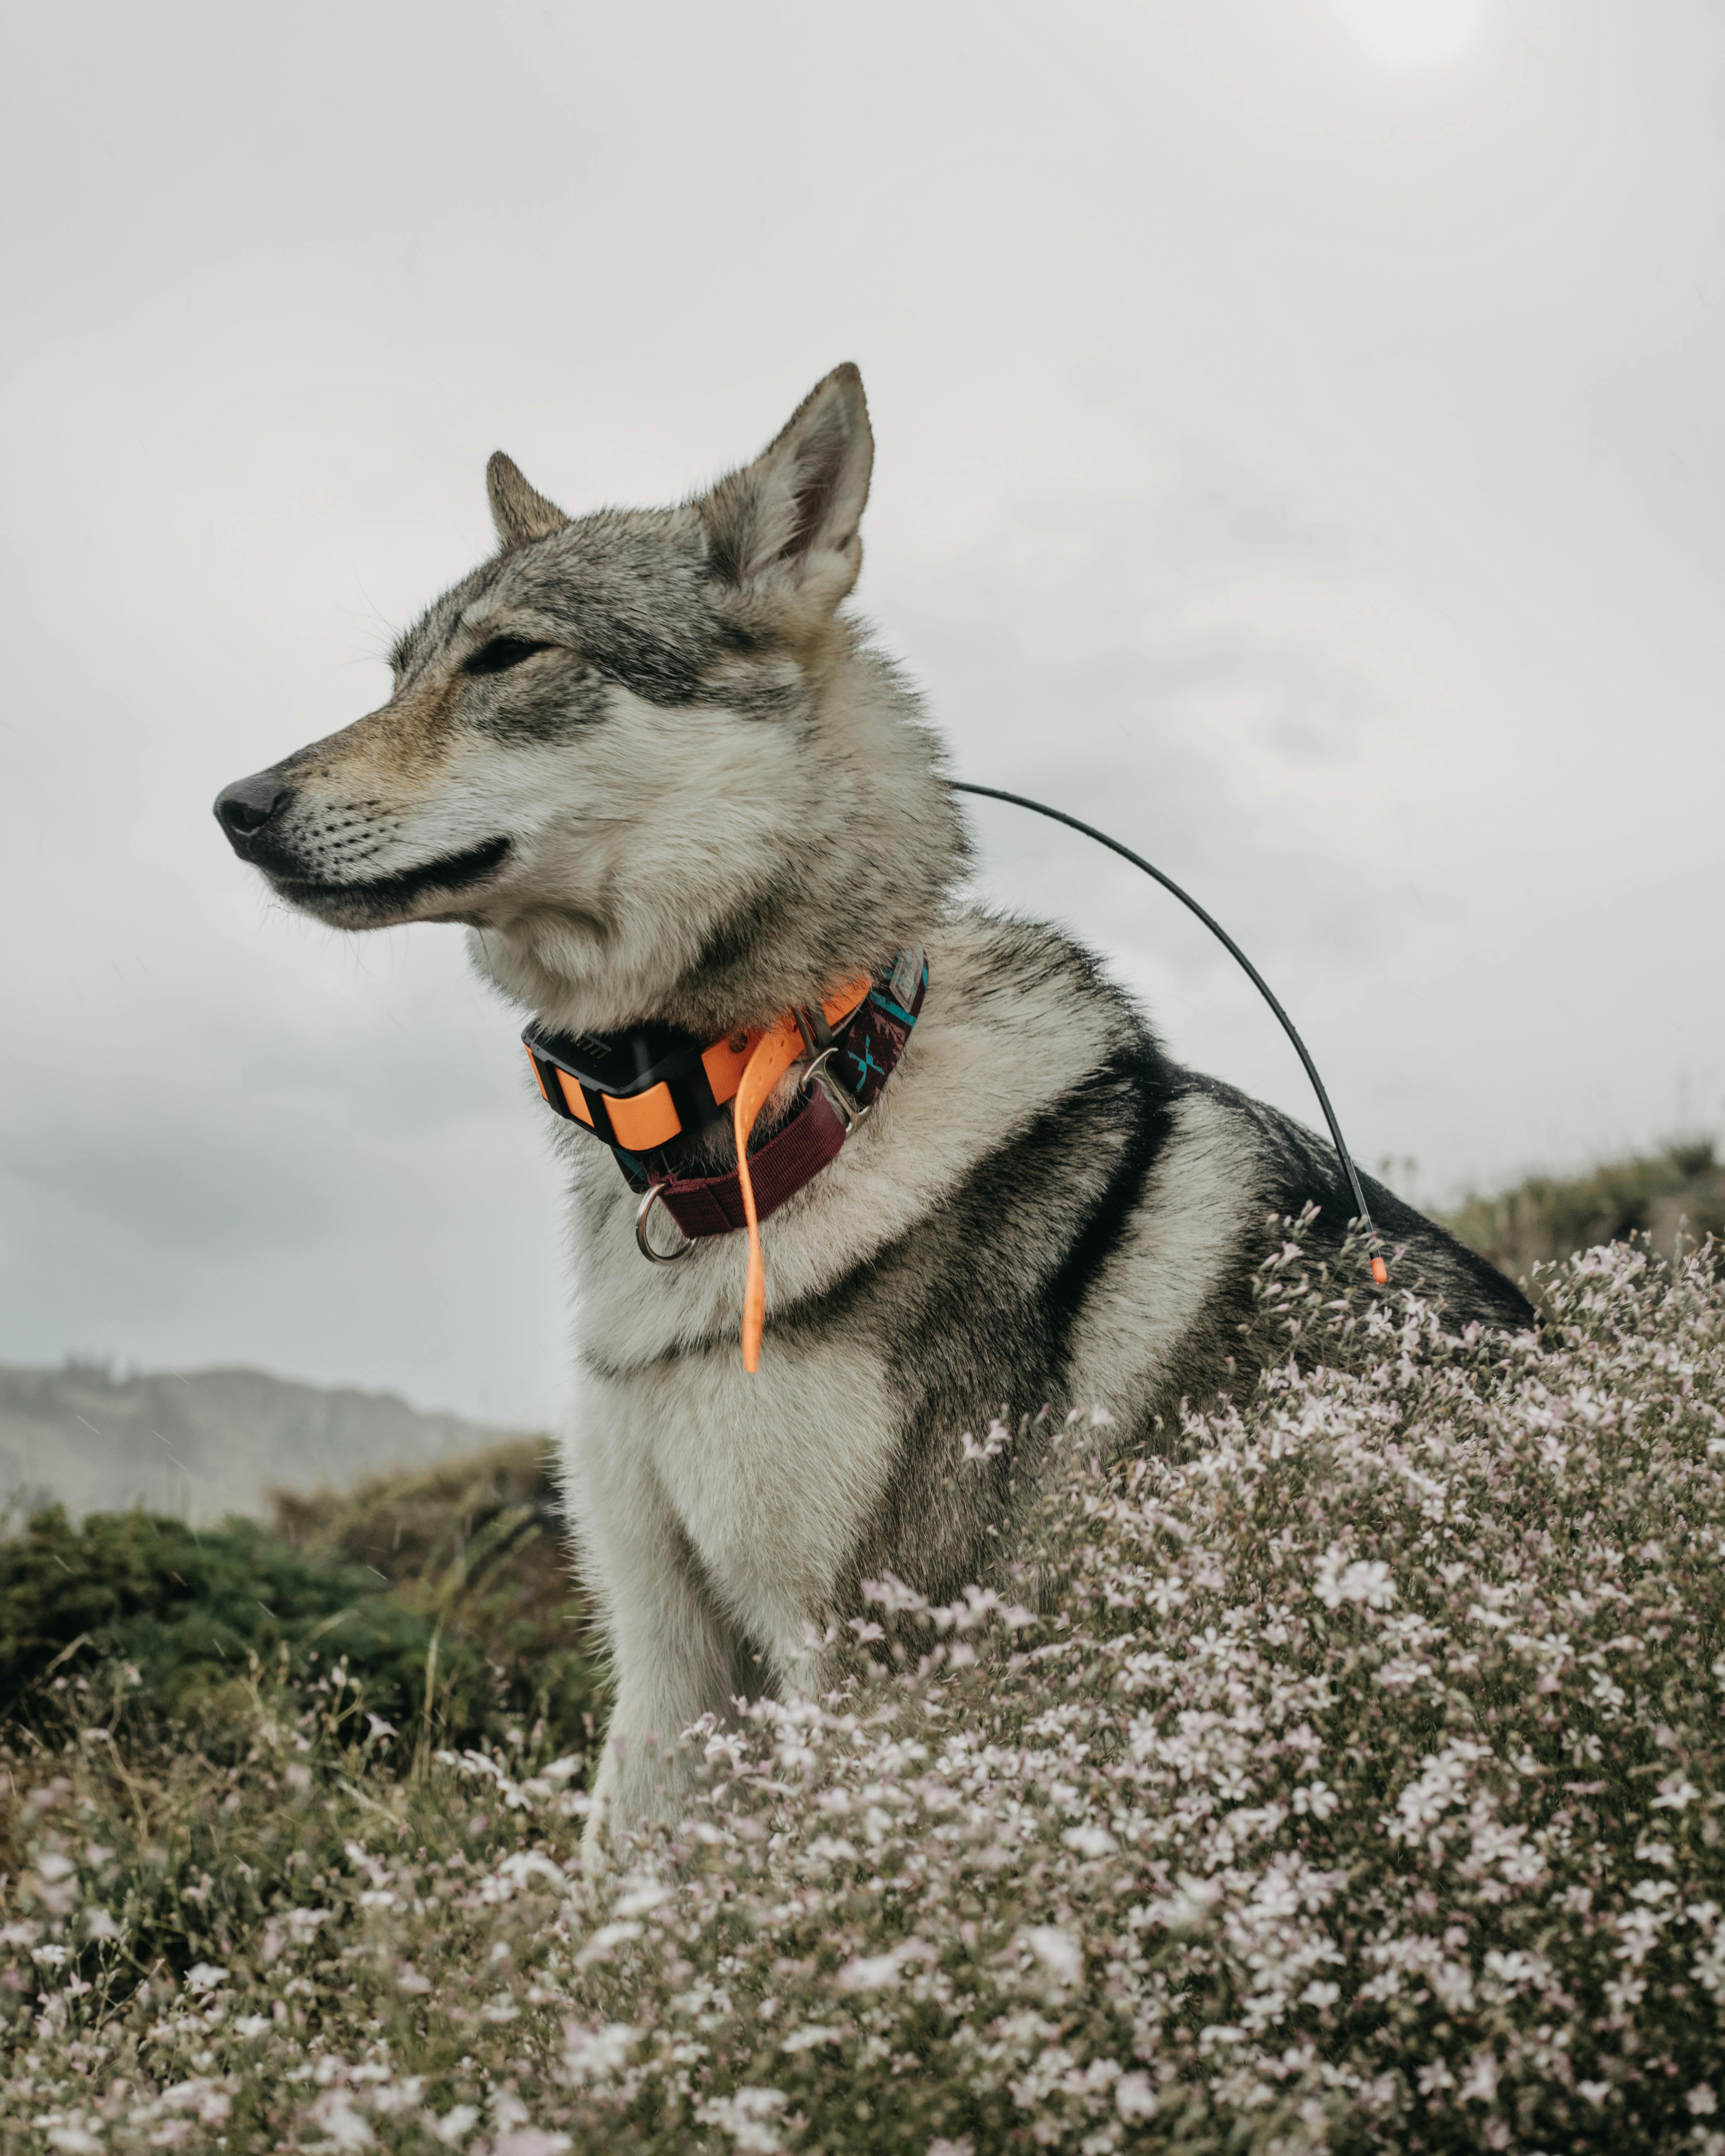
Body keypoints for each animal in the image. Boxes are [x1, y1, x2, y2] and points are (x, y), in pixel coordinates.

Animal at [219, 366, 1535, 1854]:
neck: (791, 1096)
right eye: (398, 672)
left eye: (507, 658)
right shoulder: (666, 1659)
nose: (236, 806)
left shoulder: (869, 1663)